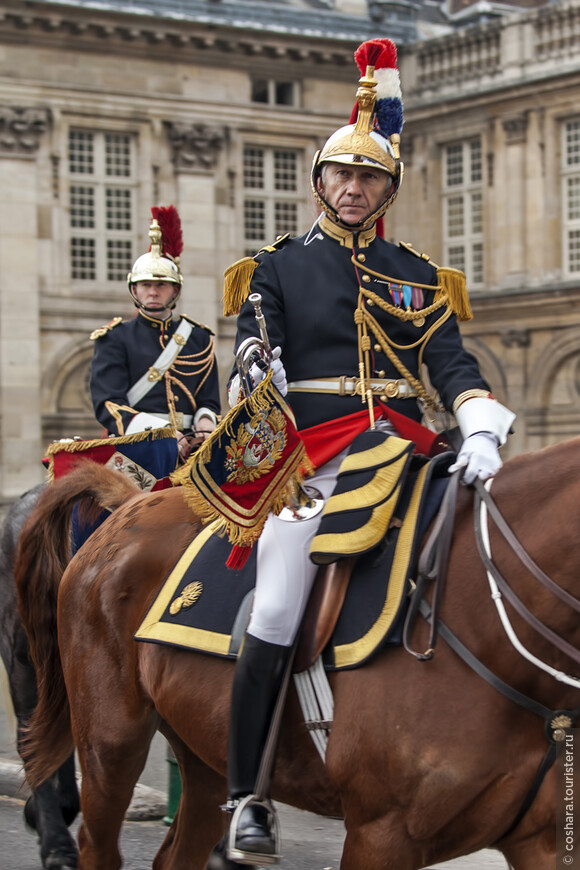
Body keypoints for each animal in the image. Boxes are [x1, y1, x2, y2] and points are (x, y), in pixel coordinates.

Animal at [12, 442, 580, 870]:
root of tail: (132, 505)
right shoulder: (381, 836)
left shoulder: (542, 841)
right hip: (111, 742)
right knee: (99, 846)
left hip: (205, 755)